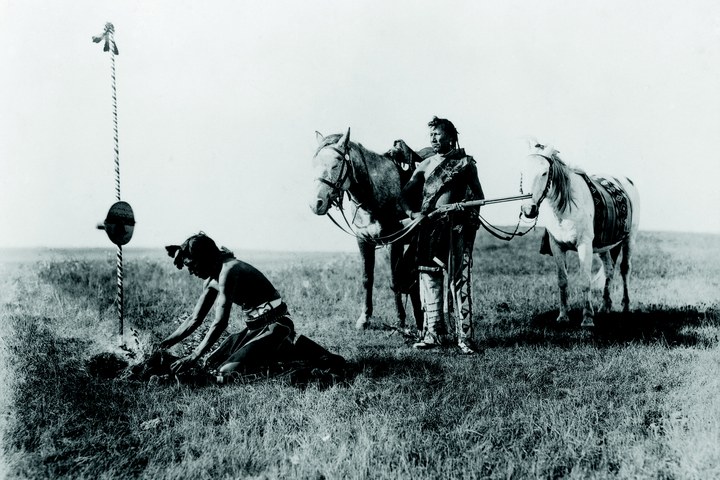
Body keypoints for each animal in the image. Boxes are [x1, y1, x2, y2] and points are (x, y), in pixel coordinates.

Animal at [520, 142, 640, 328]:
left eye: (544, 172)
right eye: (522, 172)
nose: (528, 210)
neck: (566, 207)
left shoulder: (584, 246)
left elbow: (585, 280)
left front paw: (587, 318)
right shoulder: (557, 247)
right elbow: (562, 281)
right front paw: (563, 316)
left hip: (629, 239)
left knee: (625, 269)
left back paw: (626, 306)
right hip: (604, 247)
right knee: (609, 270)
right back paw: (604, 307)